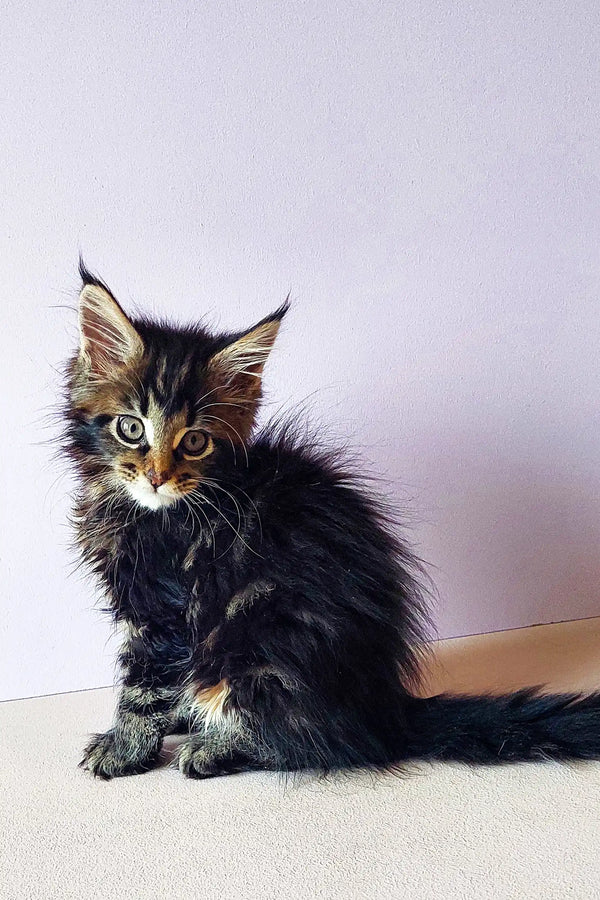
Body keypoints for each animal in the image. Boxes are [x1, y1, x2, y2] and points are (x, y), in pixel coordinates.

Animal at [62, 264, 600, 776]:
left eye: (195, 441)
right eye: (131, 428)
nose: (157, 477)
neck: (147, 509)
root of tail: (388, 712)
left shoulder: (163, 608)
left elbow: (142, 687)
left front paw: (124, 748)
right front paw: (153, 728)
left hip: (261, 647)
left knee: (319, 743)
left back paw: (214, 747)